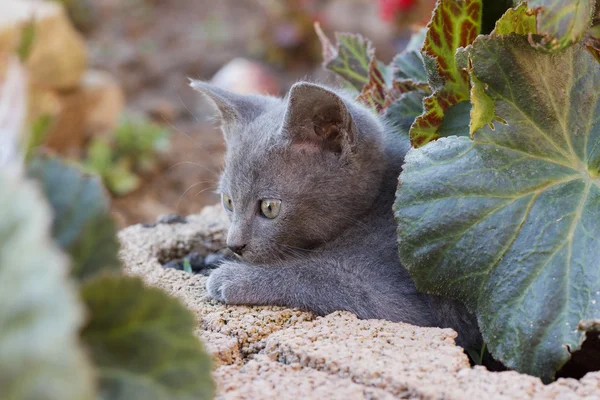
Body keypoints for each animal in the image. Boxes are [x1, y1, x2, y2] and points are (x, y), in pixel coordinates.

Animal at [192, 80, 482, 346]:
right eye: (228, 201)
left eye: (269, 207)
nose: (234, 244)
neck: (374, 208)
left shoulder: (411, 303)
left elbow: (318, 276)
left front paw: (232, 276)